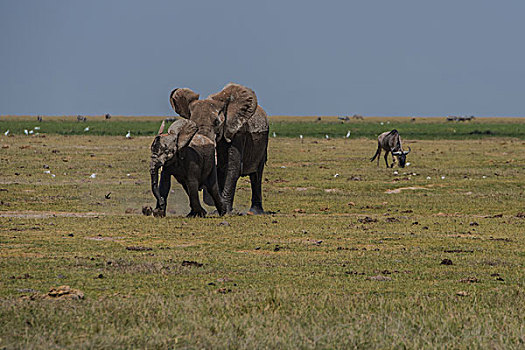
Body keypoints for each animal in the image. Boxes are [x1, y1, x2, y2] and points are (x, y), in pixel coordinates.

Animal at [169, 82, 268, 213]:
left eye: (216, 122)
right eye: (193, 124)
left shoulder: (237, 133)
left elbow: (233, 167)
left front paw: (225, 210)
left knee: (256, 174)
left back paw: (254, 212)